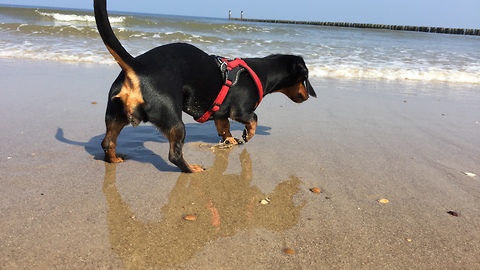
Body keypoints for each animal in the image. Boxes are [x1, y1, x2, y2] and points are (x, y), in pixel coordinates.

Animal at [95, 0, 316, 173]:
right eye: (305, 79)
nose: (306, 96)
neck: (259, 72)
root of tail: (137, 66)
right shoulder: (241, 111)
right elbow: (253, 119)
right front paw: (247, 135)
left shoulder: (221, 115)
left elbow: (224, 128)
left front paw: (231, 140)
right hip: (174, 121)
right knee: (174, 155)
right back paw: (192, 169)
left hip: (115, 115)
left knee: (107, 142)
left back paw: (114, 159)